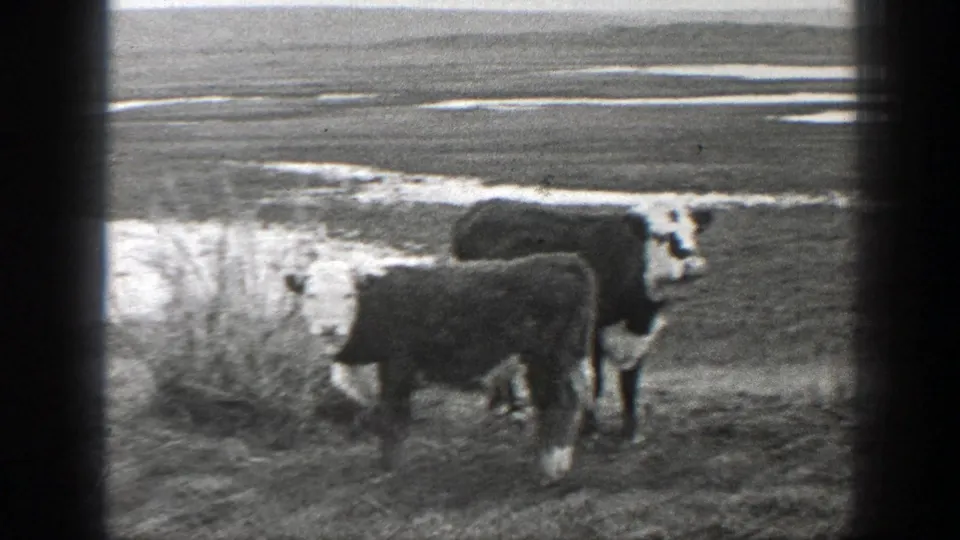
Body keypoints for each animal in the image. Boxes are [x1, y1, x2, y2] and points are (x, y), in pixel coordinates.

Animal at [284, 253, 599, 483]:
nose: (329, 328)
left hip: (551, 357)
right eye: (310, 295)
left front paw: (390, 471)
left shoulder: (397, 369)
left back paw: (553, 466)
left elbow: (393, 422)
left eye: (348, 296)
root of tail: (565, 261)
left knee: (560, 404)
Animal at [451, 198, 713, 444]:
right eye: (659, 235)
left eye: (693, 231)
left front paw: (631, 432)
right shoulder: (592, 332)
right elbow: (595, 381)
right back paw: (510, 407)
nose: (693, 265)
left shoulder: (640, 338)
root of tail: (483, 206)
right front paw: (590, 428)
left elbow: (630, 382)